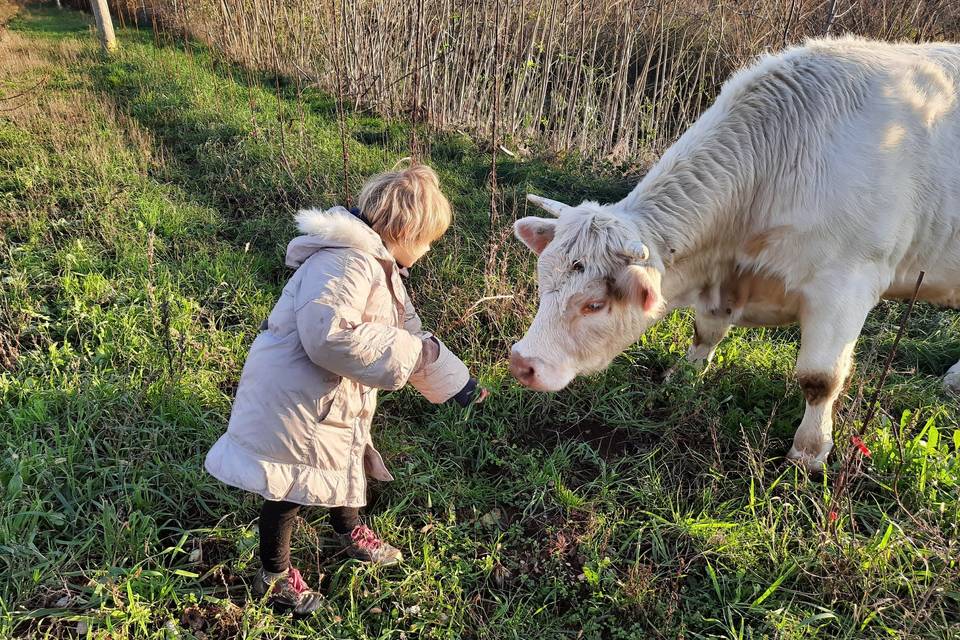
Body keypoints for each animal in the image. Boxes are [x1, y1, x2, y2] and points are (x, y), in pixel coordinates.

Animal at [510, 36, 960, 470]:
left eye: (595, 304)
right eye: (542, 285)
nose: (521, 363)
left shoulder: (846, 286)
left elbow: (820, 378)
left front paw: (809, 452)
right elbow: (705, 331)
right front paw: (684, 374)